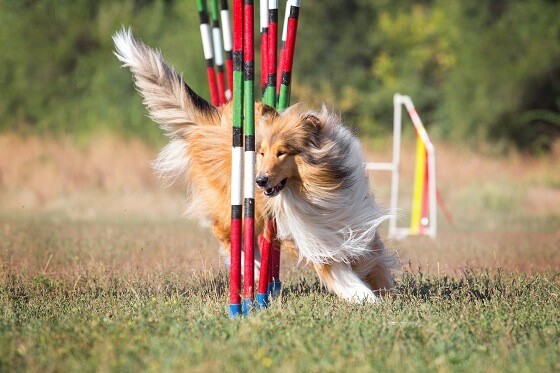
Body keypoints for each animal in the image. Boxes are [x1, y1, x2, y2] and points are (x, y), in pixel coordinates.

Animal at [114, 29, 396, 302]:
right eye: (261, 153)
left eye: (282, 153)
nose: (259, 180)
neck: (316, 191)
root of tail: (211, 123)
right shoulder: (312, 236)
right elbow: (338, 272)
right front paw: (366, 298)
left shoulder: (352, 217)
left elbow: (372, 257)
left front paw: (385, 288)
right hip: (230, 203)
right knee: (229, 236)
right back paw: (252, 274)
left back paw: (258, 272)